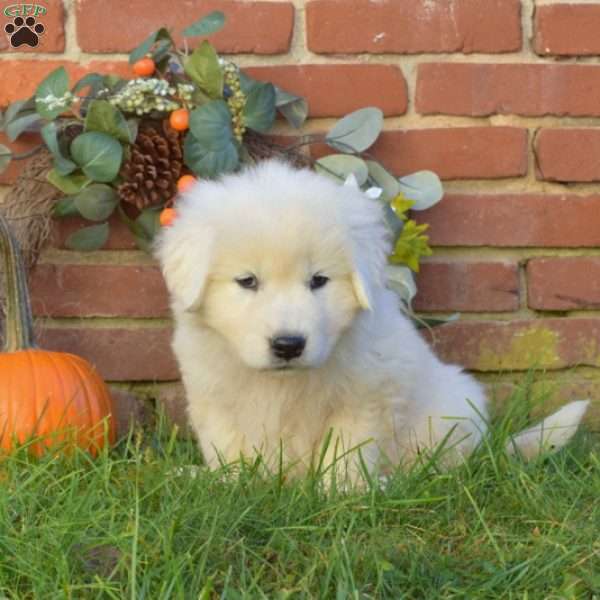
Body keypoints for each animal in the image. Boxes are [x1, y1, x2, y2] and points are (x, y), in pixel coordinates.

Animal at [156, 162, 592, 480]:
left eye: (319, 281)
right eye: (247, 281)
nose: (288, 345)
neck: (286, 382)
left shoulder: (366, 398)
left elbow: (344, 455)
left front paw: (340, 498)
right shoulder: (216, 400)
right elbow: (232, 453)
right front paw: (236, 487)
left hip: (450, 417)